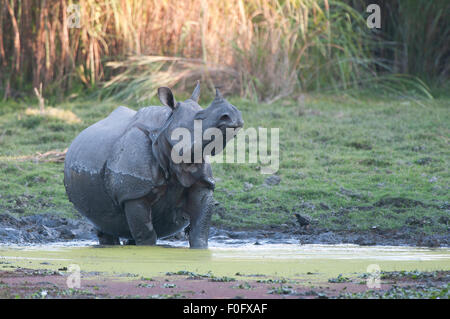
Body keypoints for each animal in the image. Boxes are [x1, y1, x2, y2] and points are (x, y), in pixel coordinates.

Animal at [64, 84, 243, 249]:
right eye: (200, 116)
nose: (233, 116)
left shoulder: (202, 182)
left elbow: (200, 232)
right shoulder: (134, 192)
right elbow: (146, 235)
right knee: (106, 225)